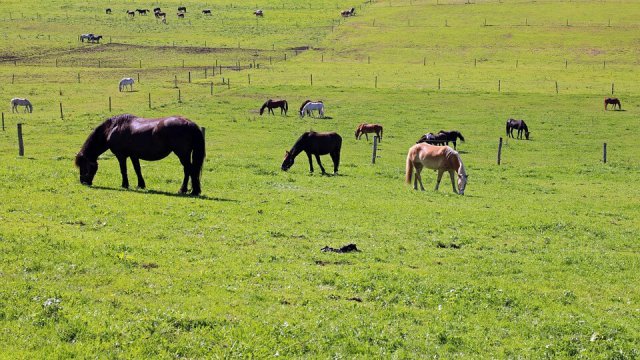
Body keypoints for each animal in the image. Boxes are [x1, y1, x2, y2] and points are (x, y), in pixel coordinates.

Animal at [75, 114, 206, 195]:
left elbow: (123, 170)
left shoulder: (121, 156)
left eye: (83, 166)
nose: (83, 182)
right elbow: (137, 169)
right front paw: (141, 185)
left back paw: (185, 190)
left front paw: (125, 185)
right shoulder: (134, 155)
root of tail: (190, 123)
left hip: (182, 154)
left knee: (188, 170)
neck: (114, 128)